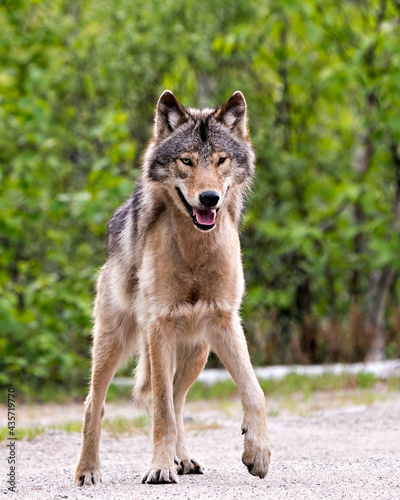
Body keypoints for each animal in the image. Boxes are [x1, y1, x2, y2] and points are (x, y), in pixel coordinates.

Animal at [74, 90, 272, 484]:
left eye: (221, 160)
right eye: (187, 161)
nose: (209, 198)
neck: (195, 250)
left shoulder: (225, 320)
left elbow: (254, 390)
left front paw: (258, 453)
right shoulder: (159, 326)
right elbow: (161, 411)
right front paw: (159, 468)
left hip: (198, 351)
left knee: (178, 400)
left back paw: (184, 459)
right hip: (114, 345)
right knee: (97, 404)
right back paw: (88, 471)